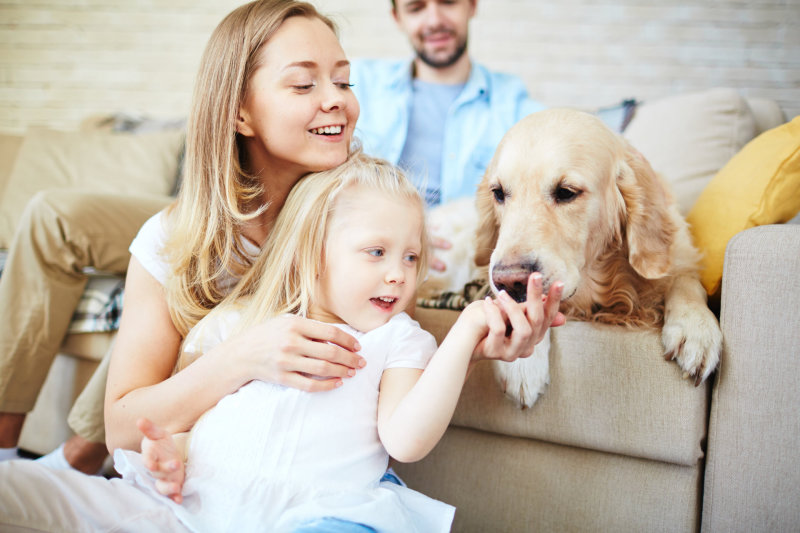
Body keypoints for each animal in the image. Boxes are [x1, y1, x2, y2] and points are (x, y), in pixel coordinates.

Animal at [472, 109, 720, 408]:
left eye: (566, 192)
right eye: (498, 193)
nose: (510, 281)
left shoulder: (678, 254)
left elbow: (685, 280)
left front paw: (695, 328)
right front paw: (522, 360)